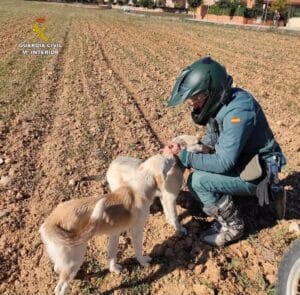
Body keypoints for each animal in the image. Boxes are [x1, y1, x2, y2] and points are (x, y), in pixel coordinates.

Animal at [40, 155, 176, 295]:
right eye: (166, 161)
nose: (173, 156)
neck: (139, 187)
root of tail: (50, 223)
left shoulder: (114, 233)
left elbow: (111, 254)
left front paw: (114, 269)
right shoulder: (136, 231)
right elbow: (138, 250)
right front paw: (143, 262)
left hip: (65, 258)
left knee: (57, 268)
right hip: (75, 258)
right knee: (60, 288)